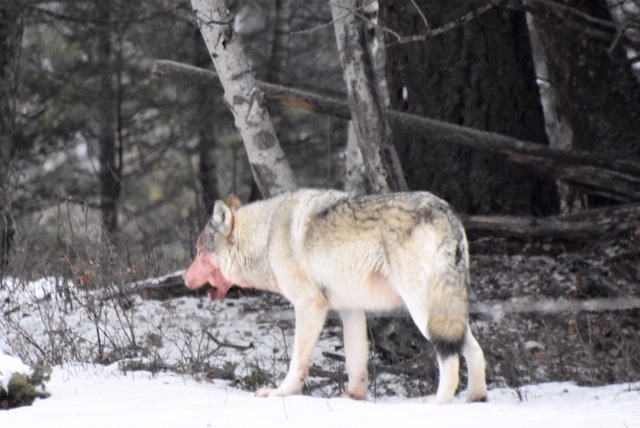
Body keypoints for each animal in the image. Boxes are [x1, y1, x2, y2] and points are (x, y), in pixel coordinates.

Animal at [183, 189, 487, 403]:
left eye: (198, 251)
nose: (184, 279)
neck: (266, 237)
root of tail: (445, 213)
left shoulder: (309, 305)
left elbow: (297, 361)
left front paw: (280, 393)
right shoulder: (350, 309)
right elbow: (355, 362)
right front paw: (352, 398)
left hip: (422, 312)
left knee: (449, 357)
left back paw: (439, 402)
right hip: (447, 312)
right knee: (473, 349)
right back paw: (475, 397)